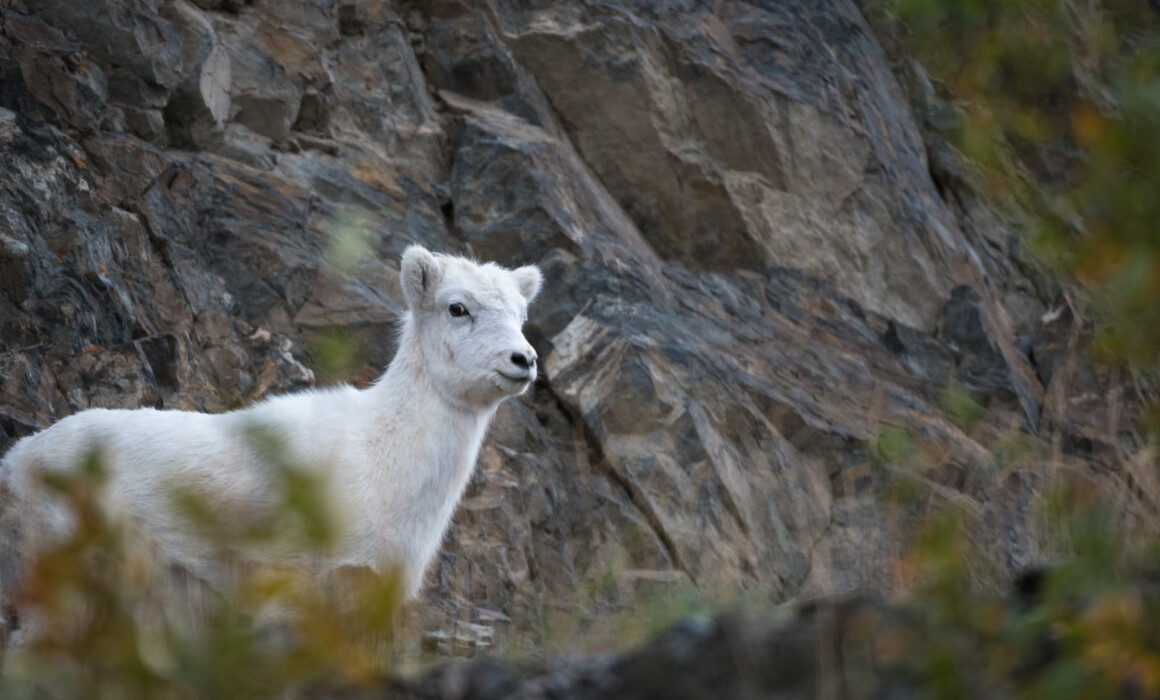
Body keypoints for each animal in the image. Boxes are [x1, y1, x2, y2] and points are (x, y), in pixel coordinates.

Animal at [0, 245, 543, 643]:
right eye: (458, 308)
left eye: (521, 314)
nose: (525, 360)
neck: (381, 453)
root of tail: (19, 460)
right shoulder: (289, 585)